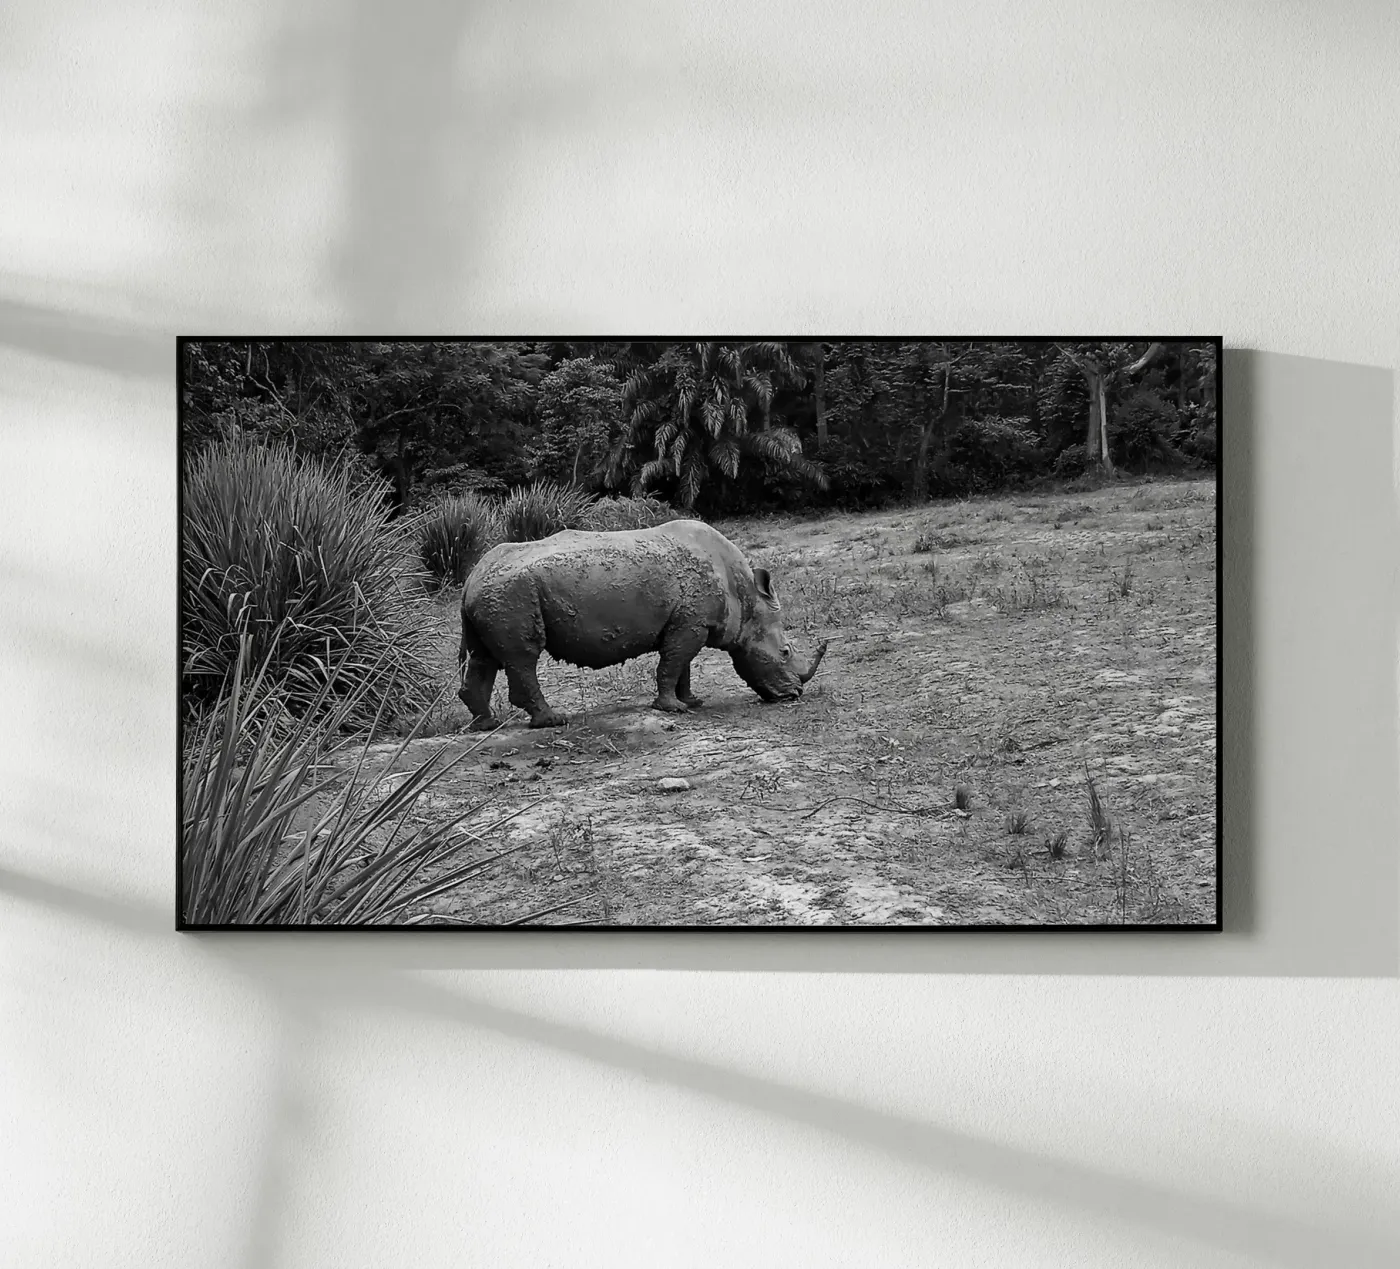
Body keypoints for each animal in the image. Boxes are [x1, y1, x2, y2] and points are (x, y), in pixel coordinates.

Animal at [456, 519, 828, 730]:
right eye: (784, 652)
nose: (794, 695)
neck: (747, 598)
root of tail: (471, 578)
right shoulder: (689, 625)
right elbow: (673, 664)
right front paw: (673, 709)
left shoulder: (688, 622)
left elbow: (682, 666)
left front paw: (692, 702)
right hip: (512, 593)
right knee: (523, 657)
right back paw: (552, 721)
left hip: (495, 594)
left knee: (484, 657)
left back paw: (486, 724)